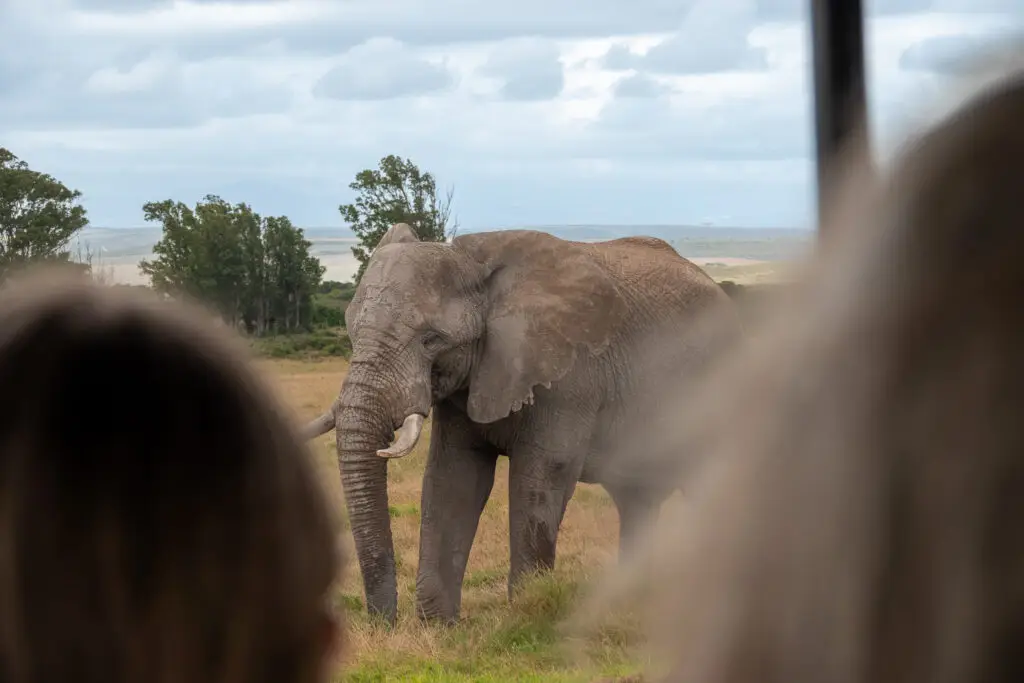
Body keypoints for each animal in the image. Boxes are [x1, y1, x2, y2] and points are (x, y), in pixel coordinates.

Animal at [303, 223, 742, 624]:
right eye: (351, 332)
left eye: (431, 340)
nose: (384, 623)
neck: (473, 261)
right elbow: (452, 477)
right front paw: (440, 628)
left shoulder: (570, 374)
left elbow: (541, 475)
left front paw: (526, 614)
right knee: (637, 497)